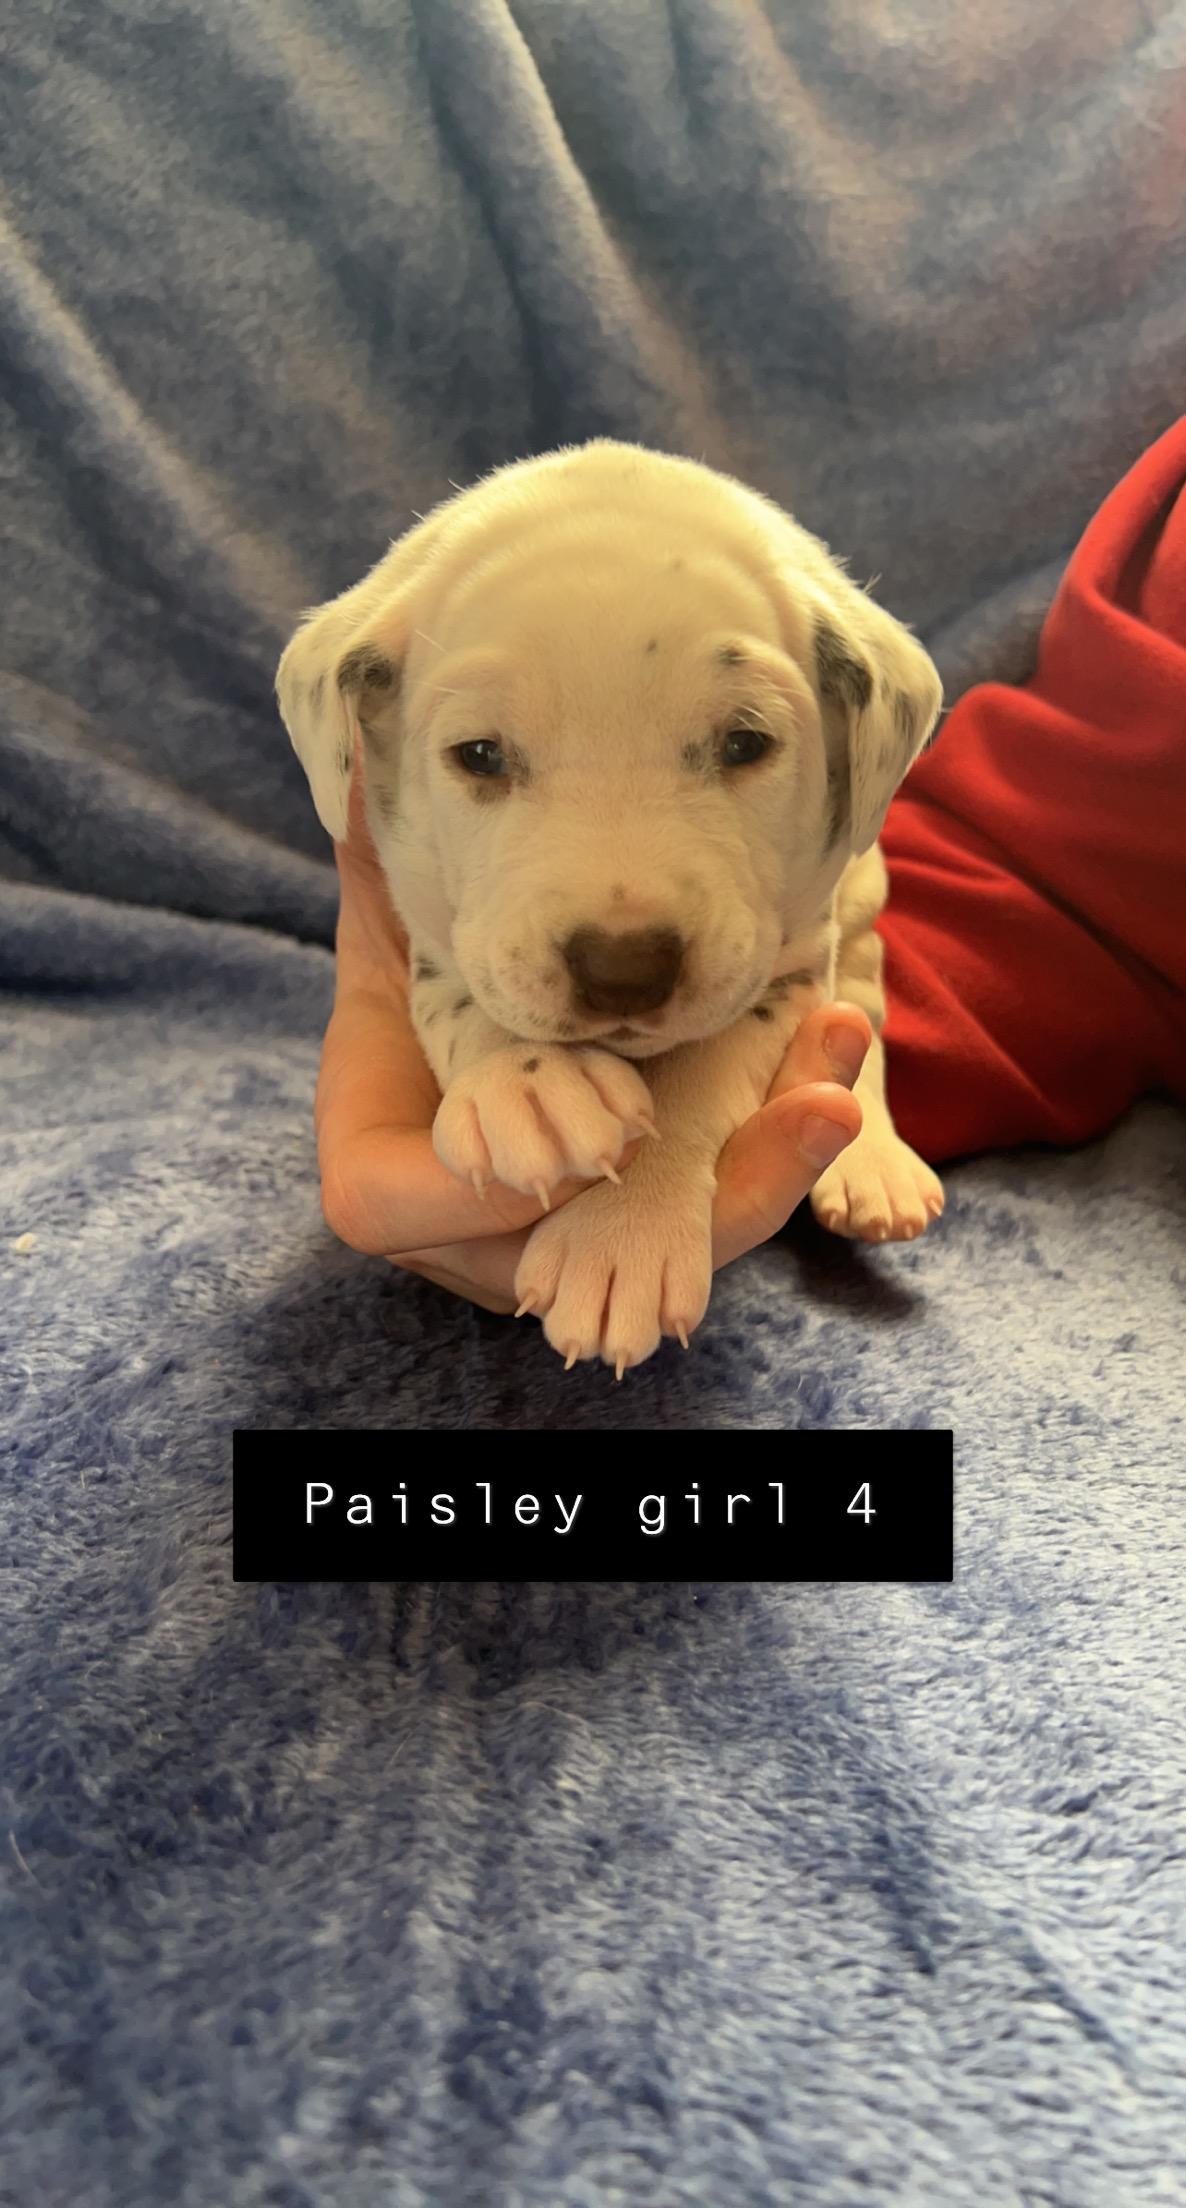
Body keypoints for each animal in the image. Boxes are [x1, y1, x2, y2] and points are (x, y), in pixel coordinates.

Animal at [277, 440, 945, 1373]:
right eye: (479, 755)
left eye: (746, 743)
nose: (624, 968)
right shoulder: (428, 916)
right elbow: (459, 994)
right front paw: (525, 1084)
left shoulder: (788, 959)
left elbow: (703, 1074)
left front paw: (620, 1235)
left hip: (863, 896)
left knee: (865, 1017)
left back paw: (874, 1162)